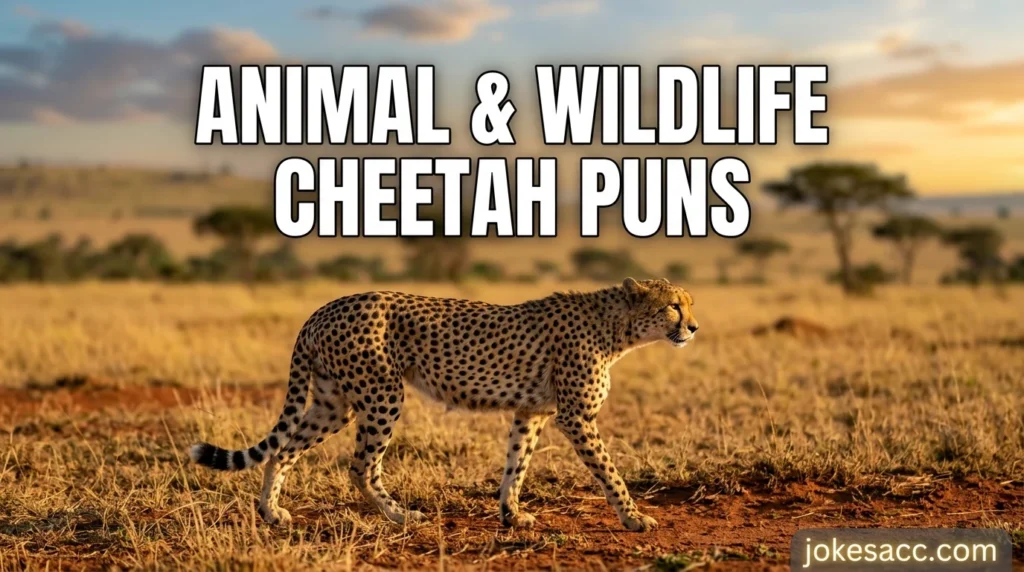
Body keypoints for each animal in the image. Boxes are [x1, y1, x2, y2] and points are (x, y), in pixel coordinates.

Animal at [189, 277, 699, 532]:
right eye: (674, 306)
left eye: (688, 305)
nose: (693, 327)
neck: (618, 328)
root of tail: (323, 308)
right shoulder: (577, 417)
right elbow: (610, 471)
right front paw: (633, 517)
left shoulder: (532, 412)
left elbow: (516, 464)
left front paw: (512, 515)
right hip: (382, 393)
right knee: (361, 466)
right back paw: (400, 516)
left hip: (334, 401)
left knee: (284, 448)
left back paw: (271, 513)